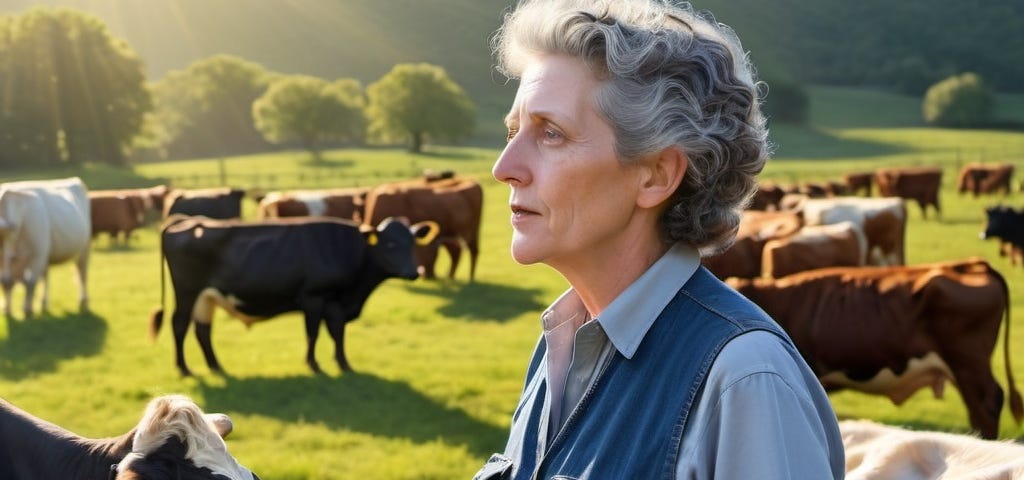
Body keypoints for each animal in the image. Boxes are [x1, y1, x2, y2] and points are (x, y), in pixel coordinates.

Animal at [0, 173, 91, 315]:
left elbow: (30, 282)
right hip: (47, 253)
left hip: (84, 248)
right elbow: (5, 282)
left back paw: (83, 301)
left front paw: (27, 310)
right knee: (45, 275)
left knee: (82, 273)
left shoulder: (37, 254)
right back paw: (43, 303)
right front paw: (7, 310)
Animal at [149, 214, 438, 376]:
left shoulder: (335, 302)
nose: (414, 272)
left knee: (202, 330)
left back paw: (216, 367)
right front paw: (314, 365)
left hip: (206, 298)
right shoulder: (313, 297)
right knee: (179, 324)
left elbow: (337, 332)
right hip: (187, 292)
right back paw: (184, 368)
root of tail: (190, 221)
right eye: (390, 243)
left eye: (412, 242)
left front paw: (344, 364)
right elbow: (313, 332)